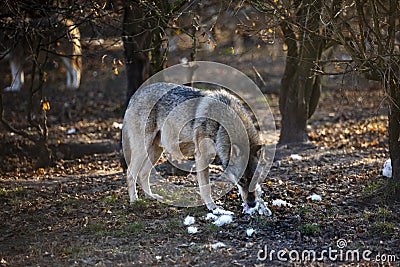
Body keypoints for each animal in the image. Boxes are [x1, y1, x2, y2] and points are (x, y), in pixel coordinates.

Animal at [122, 82, 266, 211]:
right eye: (241, 181)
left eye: (255, 179)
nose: (252, 204)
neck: (220, 125)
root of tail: (135, 95)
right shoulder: (202, 157)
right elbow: (206, 187)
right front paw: (212, 207)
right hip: (143, 149)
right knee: (130, 173)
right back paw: (134, 201)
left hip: (156, 151)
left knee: (143, 173)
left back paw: (151, 196)